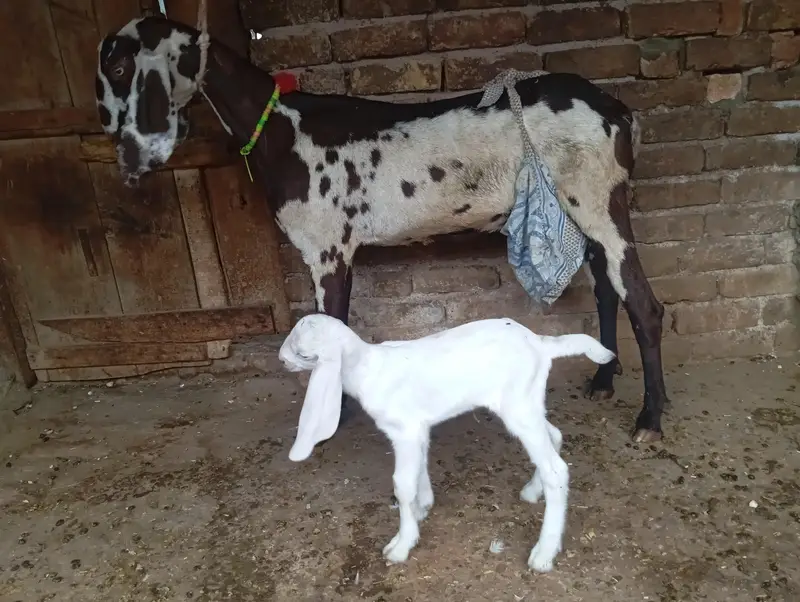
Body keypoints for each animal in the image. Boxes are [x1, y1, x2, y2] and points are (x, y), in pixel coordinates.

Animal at [94, 15, 670, 443]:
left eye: (121, 65)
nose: (120, 152)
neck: (282, 127)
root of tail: (619, 112)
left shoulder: (325, 248)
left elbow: (330, 327)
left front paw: (328, 421)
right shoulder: (338, 250)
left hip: (597, 200)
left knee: (643, 304)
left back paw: (651, 417)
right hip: (583, 210)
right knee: (608, 293)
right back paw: (602, 377)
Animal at [278, 313, 616, 571]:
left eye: (303, 353)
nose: (281, 359)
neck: (366, 367)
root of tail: (540, 343)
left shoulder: (404, 430)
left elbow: (402, 484)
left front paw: (402, 544)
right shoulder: (418, 429)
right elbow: (419, 469)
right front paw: (423, 506)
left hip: (518, 407)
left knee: (556, 470)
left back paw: (544, 553)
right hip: (526, 404)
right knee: (554, 436)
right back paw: (533, 492)